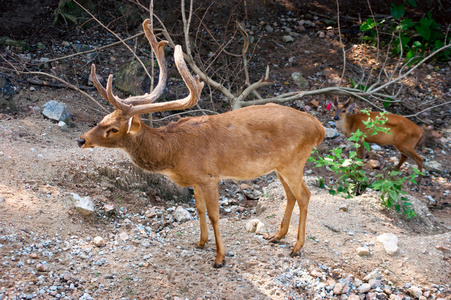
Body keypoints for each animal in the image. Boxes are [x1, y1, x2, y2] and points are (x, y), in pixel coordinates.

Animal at [77, 18, 324, 268]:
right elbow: (199, 210)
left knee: (304, 195)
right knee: (291, 196)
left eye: (113, 129)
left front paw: (219, 257)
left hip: (294, 162)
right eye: (103, 118)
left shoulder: (209, 176)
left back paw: (296, 247)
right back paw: (277, 236)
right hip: (279, 166)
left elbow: (215, 215)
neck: (174, 153)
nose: (81, 139)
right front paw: (201, 242)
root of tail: (319, 128)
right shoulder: (195, 180)